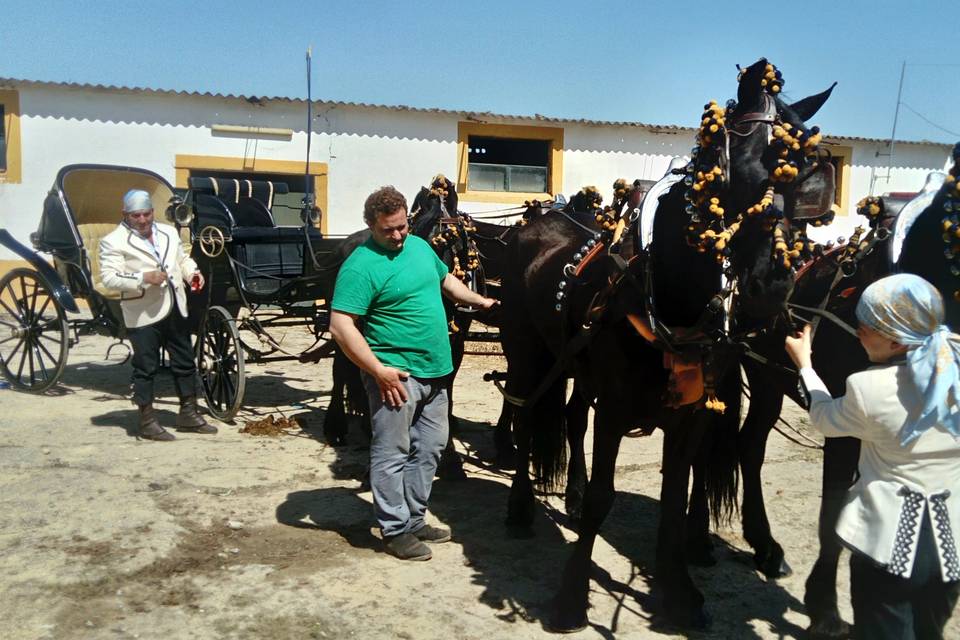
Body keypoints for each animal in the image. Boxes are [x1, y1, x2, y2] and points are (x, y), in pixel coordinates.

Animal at [498, 60, 836, 632]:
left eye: (812, 174)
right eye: (742, 166)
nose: (773, 285)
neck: (669, 298)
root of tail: (539, 221)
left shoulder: (691, 411)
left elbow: (675, 493)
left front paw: (678, 589)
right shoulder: (615, 408)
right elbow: (605, 498)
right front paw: (571, 598)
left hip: (575, 364)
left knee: (569, 415)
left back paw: (568, 493)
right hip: (525, 351)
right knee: (523, 415)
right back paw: (521, 507)